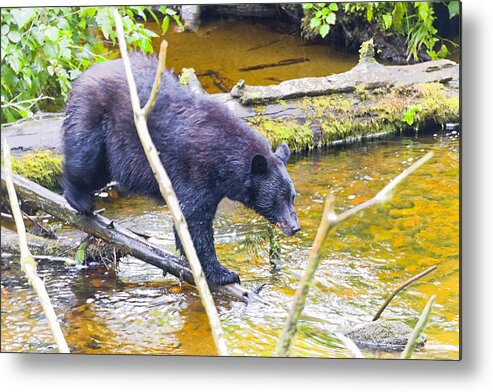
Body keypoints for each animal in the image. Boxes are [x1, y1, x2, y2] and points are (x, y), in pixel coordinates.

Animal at [61, 52, 300, 284]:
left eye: (292, 197)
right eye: (278, 198)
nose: (295, 227)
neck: (224, 158)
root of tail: (85, 74)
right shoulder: (195, 170)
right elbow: (193, 219)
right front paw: (222, 273)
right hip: (95, 116)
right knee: (84, 156)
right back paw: (79, 200)